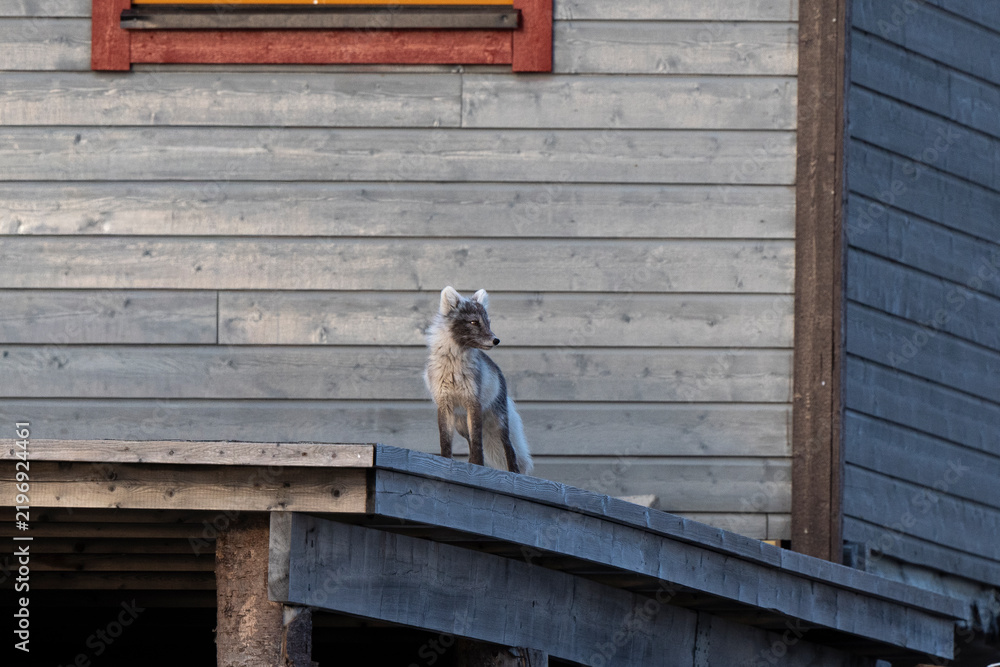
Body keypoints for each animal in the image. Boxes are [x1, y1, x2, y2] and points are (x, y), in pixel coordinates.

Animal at [424, 286, 533, 475]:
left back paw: (514, 472)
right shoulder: (444, 403)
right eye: (474, 322)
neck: (454, 367)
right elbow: (445, 442)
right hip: (461, 426)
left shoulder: (473, 402)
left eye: (488, 323)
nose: (496, 340)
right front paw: (445, 462)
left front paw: (478, 466)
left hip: (499, 421)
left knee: (509, 448)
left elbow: (477, 445)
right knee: (470, 441)